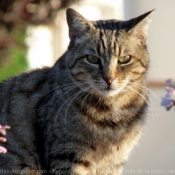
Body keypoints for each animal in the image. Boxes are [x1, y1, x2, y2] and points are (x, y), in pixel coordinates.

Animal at [0, 7, 153, 175]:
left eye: (125, 59)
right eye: (92, 59)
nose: (109, 79)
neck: (111, 114)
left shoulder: (114, 164)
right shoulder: (68, 155)